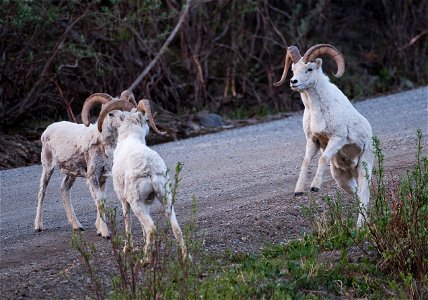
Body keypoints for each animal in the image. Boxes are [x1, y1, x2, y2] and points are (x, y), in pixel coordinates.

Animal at [34, 89, 166, 237]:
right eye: (111, 113)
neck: (104, 145)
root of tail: (47, 130)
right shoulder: (93, 177)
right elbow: (100, 202)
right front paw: (105, 233)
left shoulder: (102, 177)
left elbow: (102, 200)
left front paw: (98, 228)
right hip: (47, 167)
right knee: (42, 192)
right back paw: (38, 226)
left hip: (71, 174)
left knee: (64, 190)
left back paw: (77, 226)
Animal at [98, 99, 189, 262]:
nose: (148, 129)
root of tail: (150, 171)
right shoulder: (146, 202)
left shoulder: (124, 200)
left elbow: (127, 221)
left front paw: (127, 249)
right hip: (166, 198)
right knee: (176, 227)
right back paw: (186, 258)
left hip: (136, 203)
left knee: (151, 228)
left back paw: (145, 260)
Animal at [276, 42, 372, 225]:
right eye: (293, 70)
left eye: (309, 69)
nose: (293, 82)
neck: (317, 111)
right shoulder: (313, 141)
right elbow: (306, 161)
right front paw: (298, 191)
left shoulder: (337, 139)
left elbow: (322, 158)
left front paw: (314, 187)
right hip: (342, 179)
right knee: (357, 196)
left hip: (364, 170)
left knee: (364, 197)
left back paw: (359, 228)